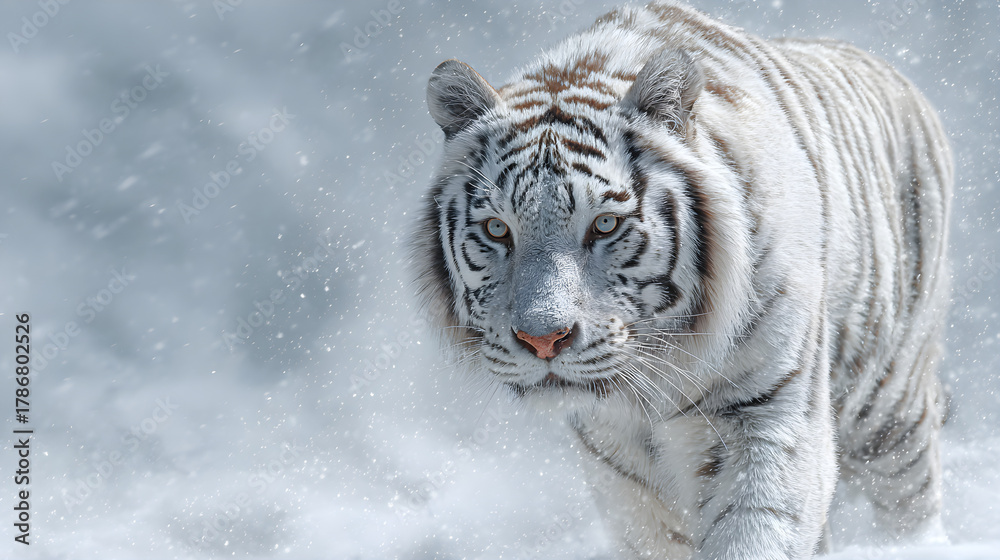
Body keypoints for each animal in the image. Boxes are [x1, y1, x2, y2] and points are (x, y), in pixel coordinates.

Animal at [410, 2, 952, 558]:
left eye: (605, 224)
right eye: (497, 229)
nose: (543, 340)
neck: (653, 387)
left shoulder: (769, 412)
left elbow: (757, 526)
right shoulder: (619, 464)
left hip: (888, 403)